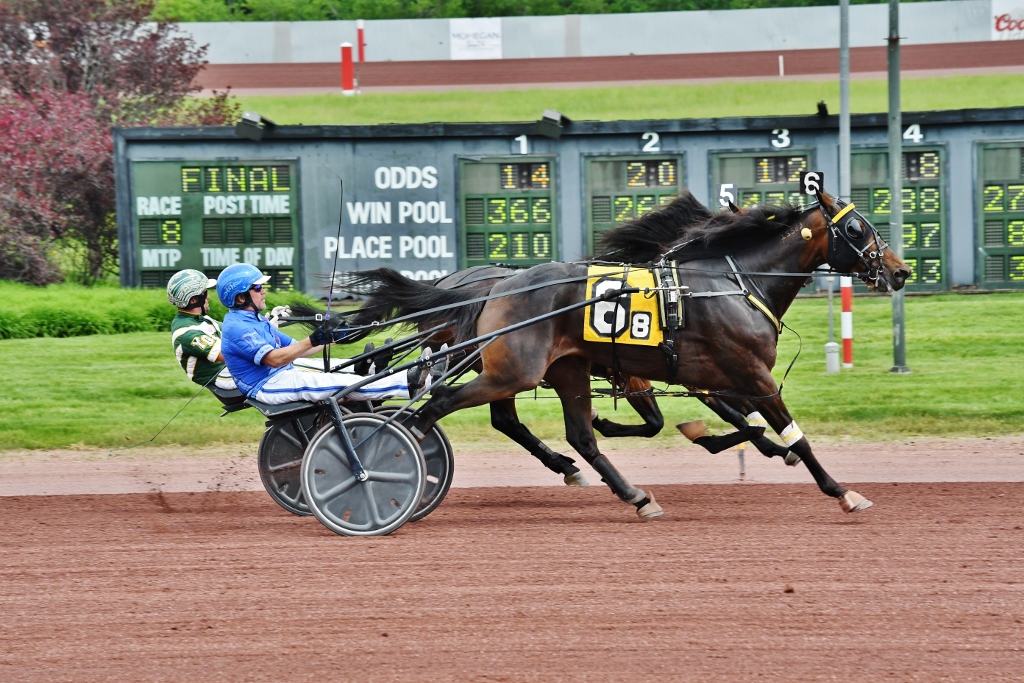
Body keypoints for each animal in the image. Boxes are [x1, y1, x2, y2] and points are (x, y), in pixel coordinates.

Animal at [339, 189, 909, 520]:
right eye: (856, 228)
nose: (900, 271)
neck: (734, 283)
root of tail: (494, 287)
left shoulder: (709, 377)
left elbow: (739, 425)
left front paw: (720, 439)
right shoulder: (747, 374)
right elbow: (791, 433)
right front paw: (842, 491)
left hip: (551, 370)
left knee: (558, 431)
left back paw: (627, 491)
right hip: (513, 369)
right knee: (435, 405)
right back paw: (382, 465)